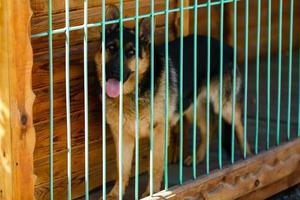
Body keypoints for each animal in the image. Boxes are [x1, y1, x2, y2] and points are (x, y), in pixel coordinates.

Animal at [95, 4, 252, 198]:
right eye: (111, 48)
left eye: (131, 53)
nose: (114, 73)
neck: (136, 91)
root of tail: (225, 46)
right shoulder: (123, 136)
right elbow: (121, 169)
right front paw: (114, 194)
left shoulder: (159, 132)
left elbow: (155, 166)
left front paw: (151, 193)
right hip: (191, 108)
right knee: (210, 127)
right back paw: (198, 158)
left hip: (225, 107)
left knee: (239, 126)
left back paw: (249, 158)